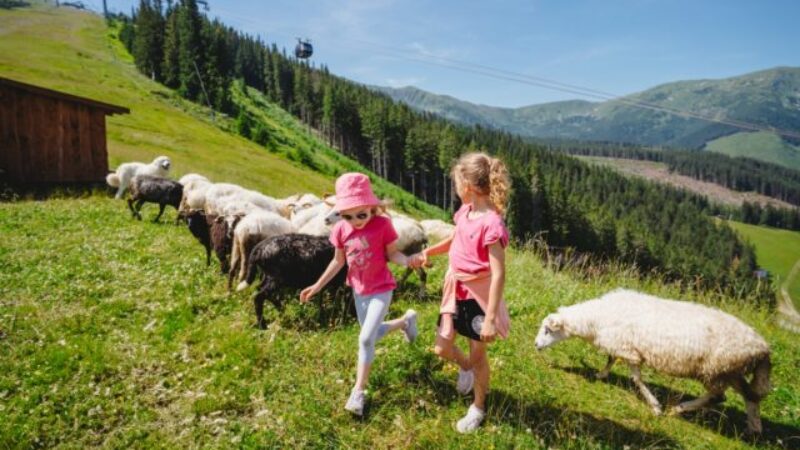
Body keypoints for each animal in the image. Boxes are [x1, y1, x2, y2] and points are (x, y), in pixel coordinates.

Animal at [536, 290, 772, 434]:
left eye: (548, 330)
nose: (536, 345)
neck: (595, 321)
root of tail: (762, 347)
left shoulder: (629, 350)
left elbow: (636, 379)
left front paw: (655, 406)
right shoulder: (621, 345)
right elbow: (611, 359)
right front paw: (602, 374)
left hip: (716, 369)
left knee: (719, 396)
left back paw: (680, 409)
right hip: (731, 370)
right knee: (750, 396)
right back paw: (754, 428)